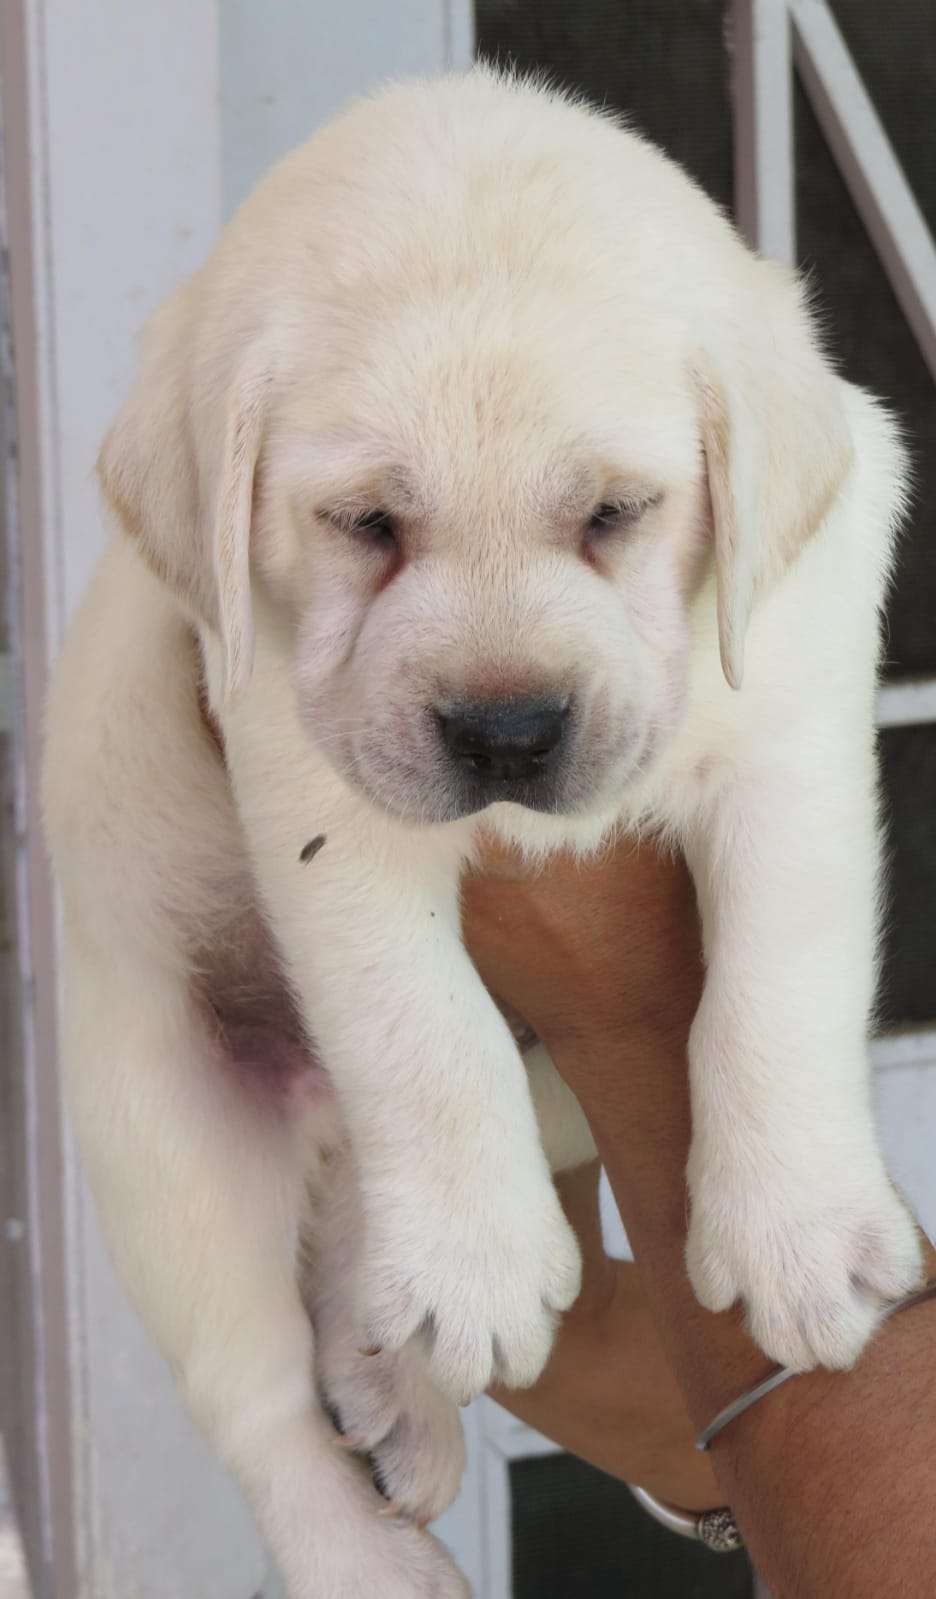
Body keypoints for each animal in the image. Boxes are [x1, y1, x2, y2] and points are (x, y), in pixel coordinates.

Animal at [42, 68, 921, 1592]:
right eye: (367, 523)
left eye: (618, 512)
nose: (508, 732)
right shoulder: (314, 771)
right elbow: (419, 1021)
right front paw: (469, 1265)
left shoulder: (793, 710)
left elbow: (778, 971)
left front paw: (800, 1230)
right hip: (159, 1114)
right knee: (259, 1394)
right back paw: (369, 1538)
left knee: (348, 1220)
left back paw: (391, 1380)